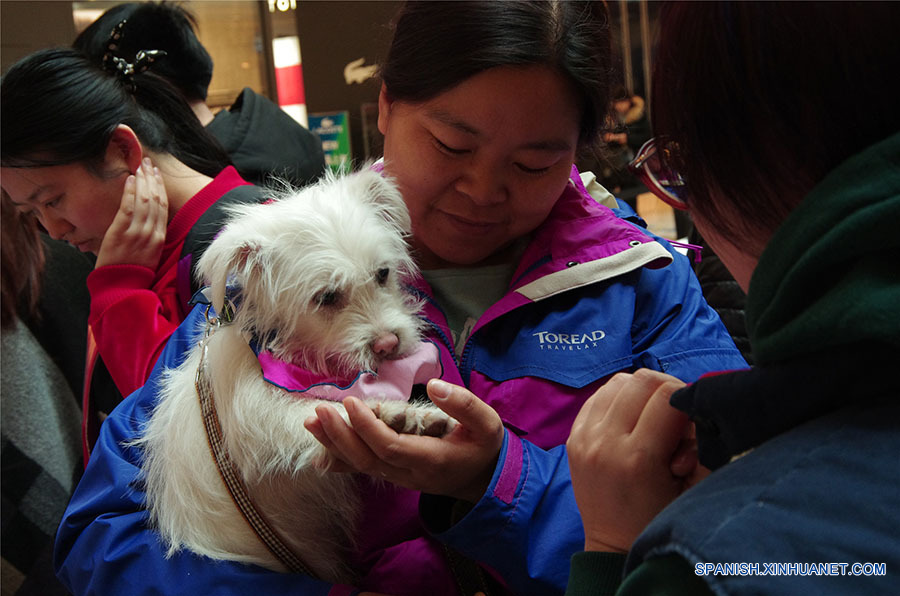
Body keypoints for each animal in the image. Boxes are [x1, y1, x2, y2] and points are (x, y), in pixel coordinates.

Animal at [135, 170, 450, 584]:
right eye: (326, 297)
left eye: (382, 274)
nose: (387, 345)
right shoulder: (255, 415)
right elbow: (312, 411)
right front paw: (399, 415)